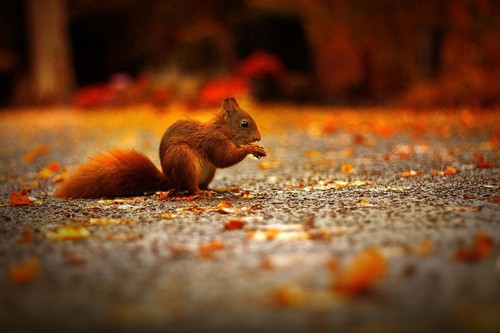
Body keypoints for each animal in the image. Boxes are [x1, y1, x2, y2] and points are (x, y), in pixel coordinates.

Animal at [54, 96, 266, 197]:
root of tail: (170, 180)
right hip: (183, 159)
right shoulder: (214, 141)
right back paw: (202, 193)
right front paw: (251, 149)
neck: (221, 128)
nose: (258, 138)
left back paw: (218, 190)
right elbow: (224, 158)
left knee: (203, 184)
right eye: (244, 124)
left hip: (208, 171)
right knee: (191, 188)